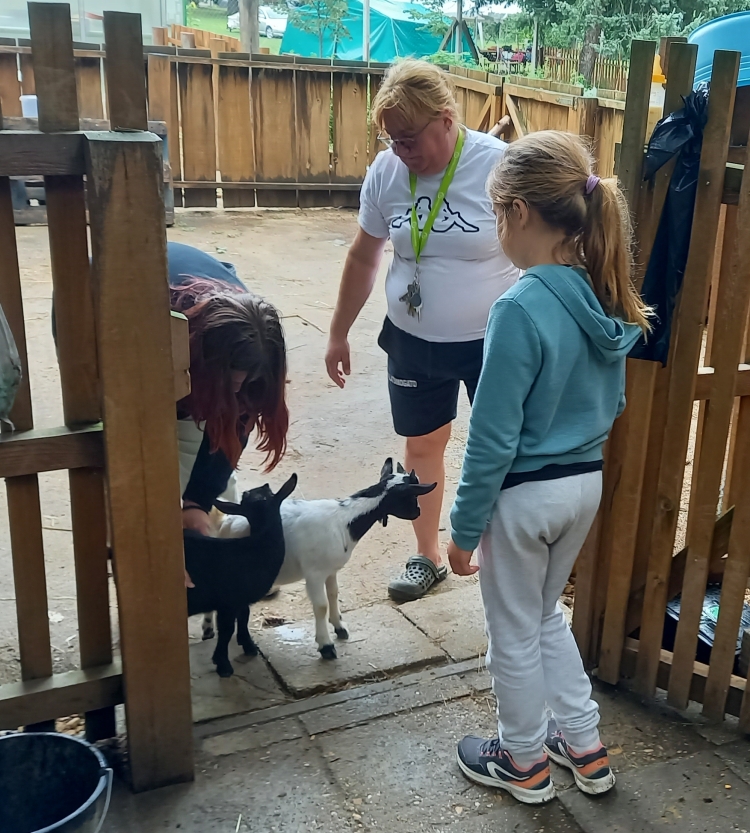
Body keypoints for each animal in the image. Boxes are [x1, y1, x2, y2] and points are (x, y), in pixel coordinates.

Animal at [185, 473, 297, 677]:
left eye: (269, 494)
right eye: (246, 496)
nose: (263, 485)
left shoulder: (242, 599)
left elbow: (244, 617)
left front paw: (249, 645)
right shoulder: (227, 601)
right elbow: (227, 629)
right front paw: (223, 664)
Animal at [204, 458, 437, 659]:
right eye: (410, 496)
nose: (418, 512)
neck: (343, 521)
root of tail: (227, 524)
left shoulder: (330, 569)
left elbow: (333, 594)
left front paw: (340, 627)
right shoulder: (314, 573)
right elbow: (321, 605)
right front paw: (326, 646)